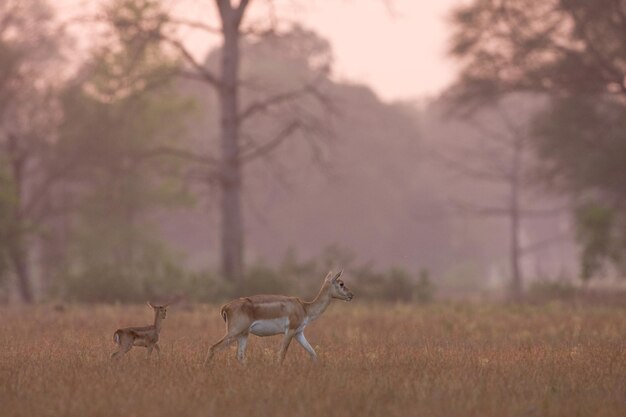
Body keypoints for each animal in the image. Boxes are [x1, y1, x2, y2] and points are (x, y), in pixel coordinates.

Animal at [205, 272, 352, 362]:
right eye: (341, 283)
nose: (351, 295)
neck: (305, 308)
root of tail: (226, 307)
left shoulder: (299, 333)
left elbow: (313, 354)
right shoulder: (290, 331)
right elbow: (281, 355)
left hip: (243, 334)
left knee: (240, 356)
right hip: (234, 333)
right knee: (213, 348)